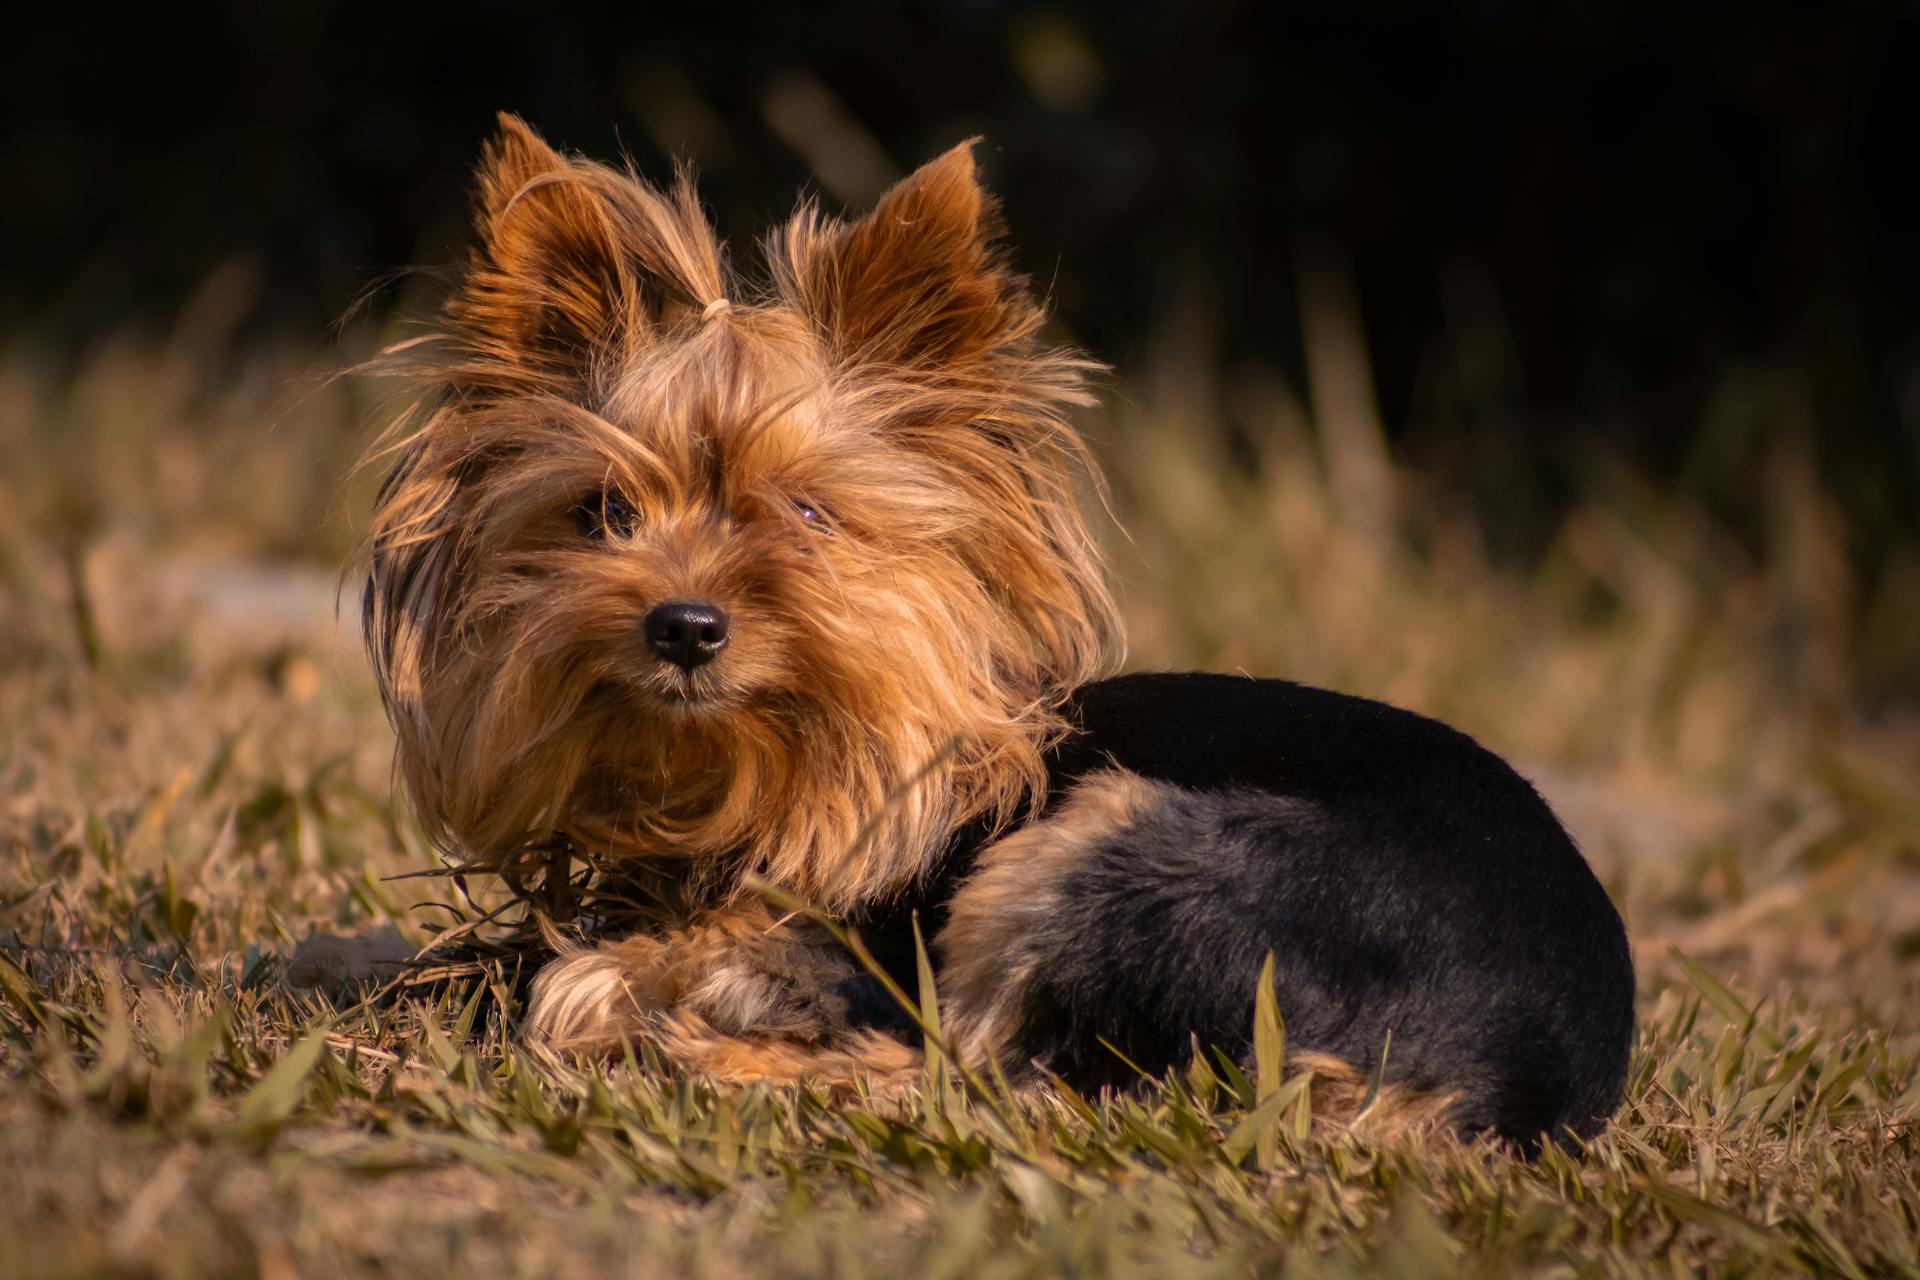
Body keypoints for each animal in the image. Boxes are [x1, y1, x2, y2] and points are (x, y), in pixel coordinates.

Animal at [353, 112, 1628, 1151]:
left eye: (808, 514)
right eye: (606, 513)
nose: (684, 625)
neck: (749, 781)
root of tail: (1511, 1079)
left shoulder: (838, 943)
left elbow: (594, 979)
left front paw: (627, 1003)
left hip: (1102, 849)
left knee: (978, 1077)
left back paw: (712, 1059)